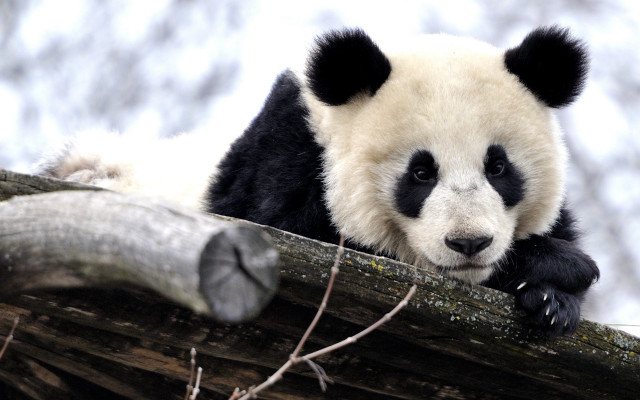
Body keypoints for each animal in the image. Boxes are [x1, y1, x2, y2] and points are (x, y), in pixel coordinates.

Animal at [38, 26, 599, 336]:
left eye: (497, 167)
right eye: (421, 172)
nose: (469, 243)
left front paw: (552, 300)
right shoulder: (284, 161)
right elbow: (303, 233)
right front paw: (556, 267)